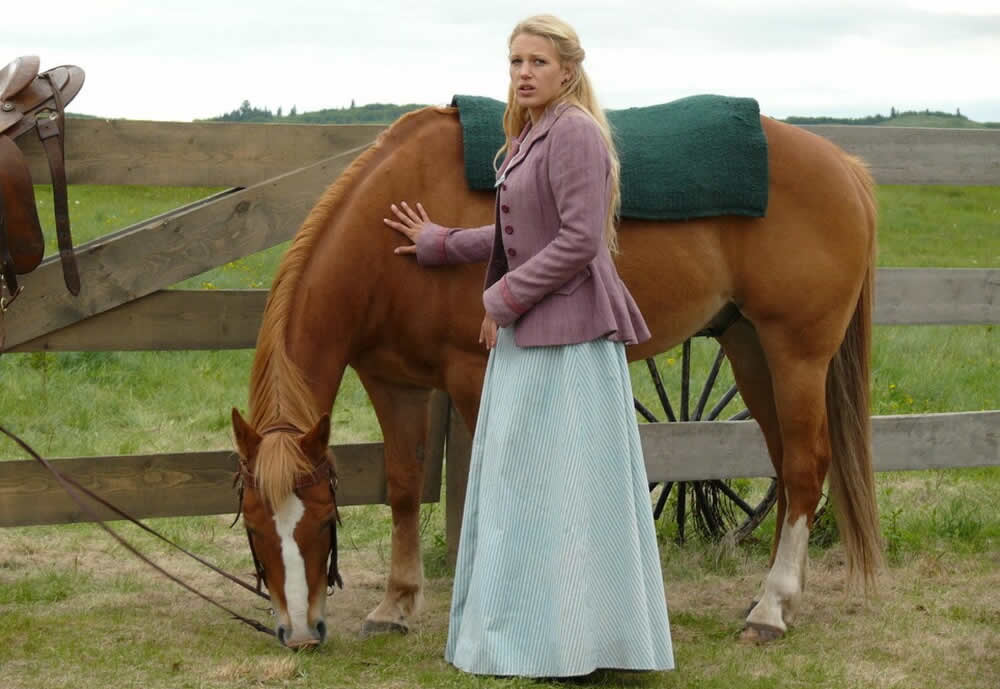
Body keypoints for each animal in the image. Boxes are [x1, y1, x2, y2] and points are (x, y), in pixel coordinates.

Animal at [229, 105, 884, 648]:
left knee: (803, 469)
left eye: (322, 521)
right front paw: (396, 605)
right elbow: (405, 486)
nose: (300, 634)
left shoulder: (473, 376)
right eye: (256, 530)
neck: (388, 237)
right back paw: (770, 598)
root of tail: (847, 168)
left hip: (797, 356)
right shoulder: (393, 384)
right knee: (784, 462)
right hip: (749, 347)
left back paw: (772, 610)